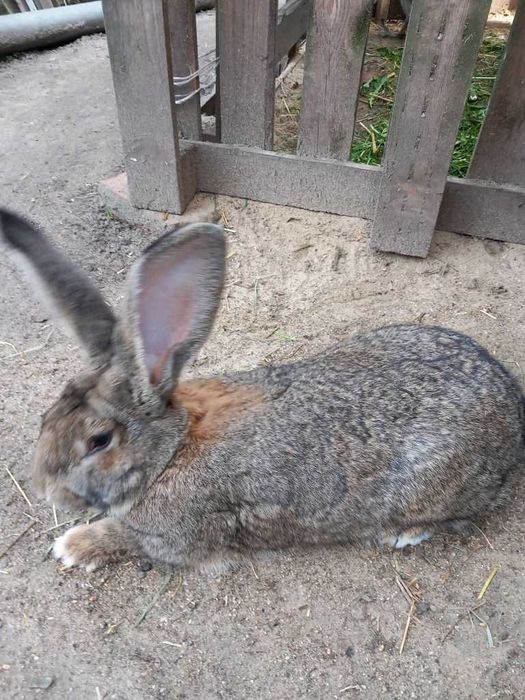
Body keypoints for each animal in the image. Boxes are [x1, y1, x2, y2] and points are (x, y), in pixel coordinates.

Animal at [0, 208, 520, 576]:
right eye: (46, 419)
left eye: (99, 441)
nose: (43, 489)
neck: (171, 451)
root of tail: (514, 413)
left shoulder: (175, 538)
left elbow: (123, 536)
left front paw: (73, 546)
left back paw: (405, 535)